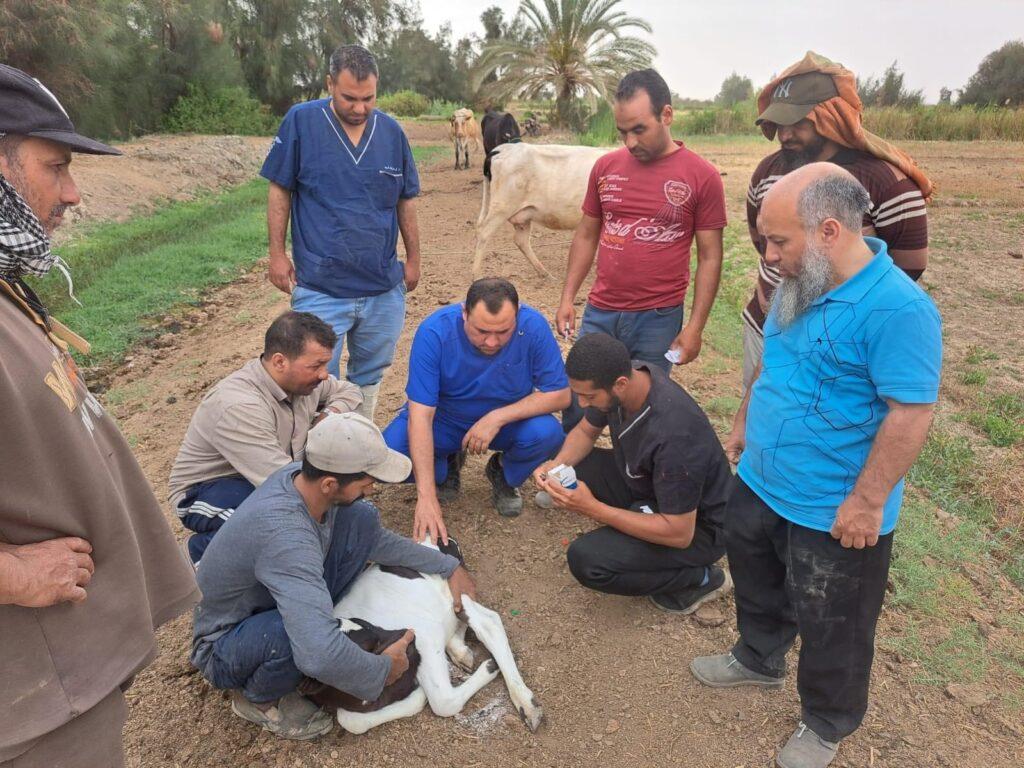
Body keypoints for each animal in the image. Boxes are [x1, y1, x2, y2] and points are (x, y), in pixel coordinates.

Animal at [303, 536, 544, 737]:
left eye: (371, 637)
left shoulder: (423, 638)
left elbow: (443, 702)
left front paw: (489, 667)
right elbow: (351, 721)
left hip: (457, 595)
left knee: (488, 622)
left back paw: (526, 703)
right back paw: (460, 652)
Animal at [473, 143, 610, 278]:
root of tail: (501, 149)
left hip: (523, 214)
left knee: (521, 241)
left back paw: (544, 273)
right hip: (502, 207)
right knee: (484, 233)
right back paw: (476, 275)